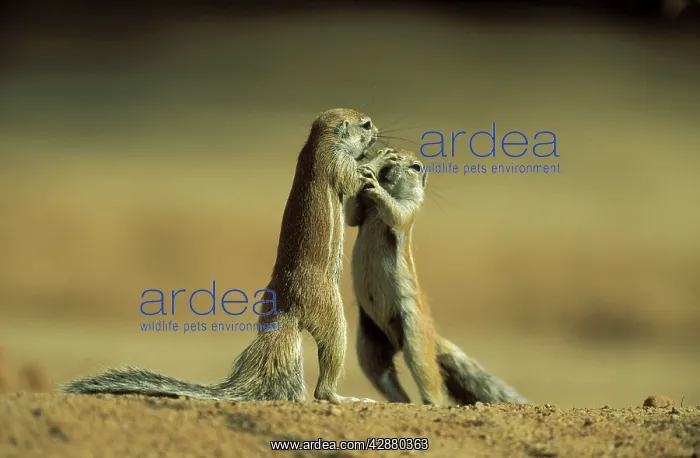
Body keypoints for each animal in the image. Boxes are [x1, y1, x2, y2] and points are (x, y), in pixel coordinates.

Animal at [61, 108, 383, 404]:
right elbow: (352, 181)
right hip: (333, 316)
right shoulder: (337, 163)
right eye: (366, 124)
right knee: (325, 379)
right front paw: (379, 160)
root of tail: (286, 311)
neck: (320, 142)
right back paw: (343, 397)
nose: (379, 132)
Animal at [345, 147, 529, 406]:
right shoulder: (362, 214)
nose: (385, 168)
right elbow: (351, 215)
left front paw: (375, 185)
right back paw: (389, 401)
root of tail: (432, 337)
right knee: (383, 376)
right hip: (369, 342)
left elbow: (397, 214)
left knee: (427, 375)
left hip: (414, 337)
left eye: (415, 167)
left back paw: (431, 402)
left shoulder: (410, 208)